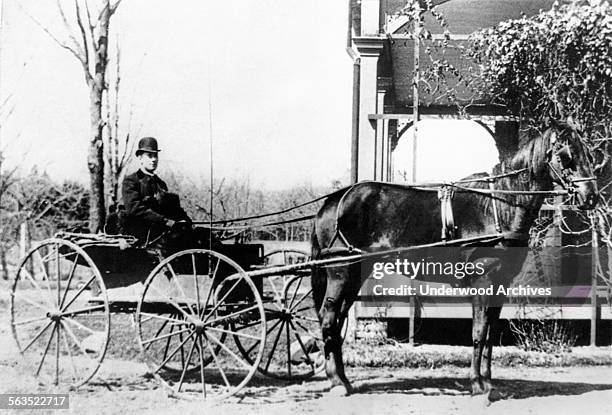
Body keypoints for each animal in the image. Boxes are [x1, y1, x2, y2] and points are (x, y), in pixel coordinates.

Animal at [310, 122, 596, 398]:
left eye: (589, 154)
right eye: (566, 155)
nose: (590, 196)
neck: (498, 206)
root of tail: (333, 201)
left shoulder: (500, 285)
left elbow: (491, 333)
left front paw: (489, 384)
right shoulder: (483, 281)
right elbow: (479, 332)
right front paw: (477, 385)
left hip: (355, 273)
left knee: (337, 321)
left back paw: (344, 380)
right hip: (340, 272)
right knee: (329, 318)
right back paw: (336, 382)